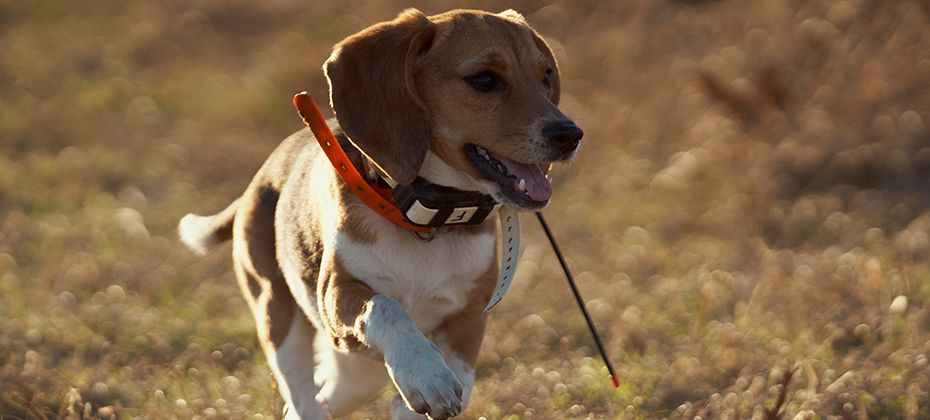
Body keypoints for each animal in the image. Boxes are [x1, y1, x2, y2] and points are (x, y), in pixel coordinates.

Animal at [177, 8, 576, 418]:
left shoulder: (468, 318)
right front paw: (427, 376)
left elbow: (460, 381)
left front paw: (419, 392)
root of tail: (259, 180)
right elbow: (387, 306)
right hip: (280, 318)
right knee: (303, 399)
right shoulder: (337, 294)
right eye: (484, 79)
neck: (425, 221)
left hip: (356, 375)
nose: (569, 134)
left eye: (546, 75)